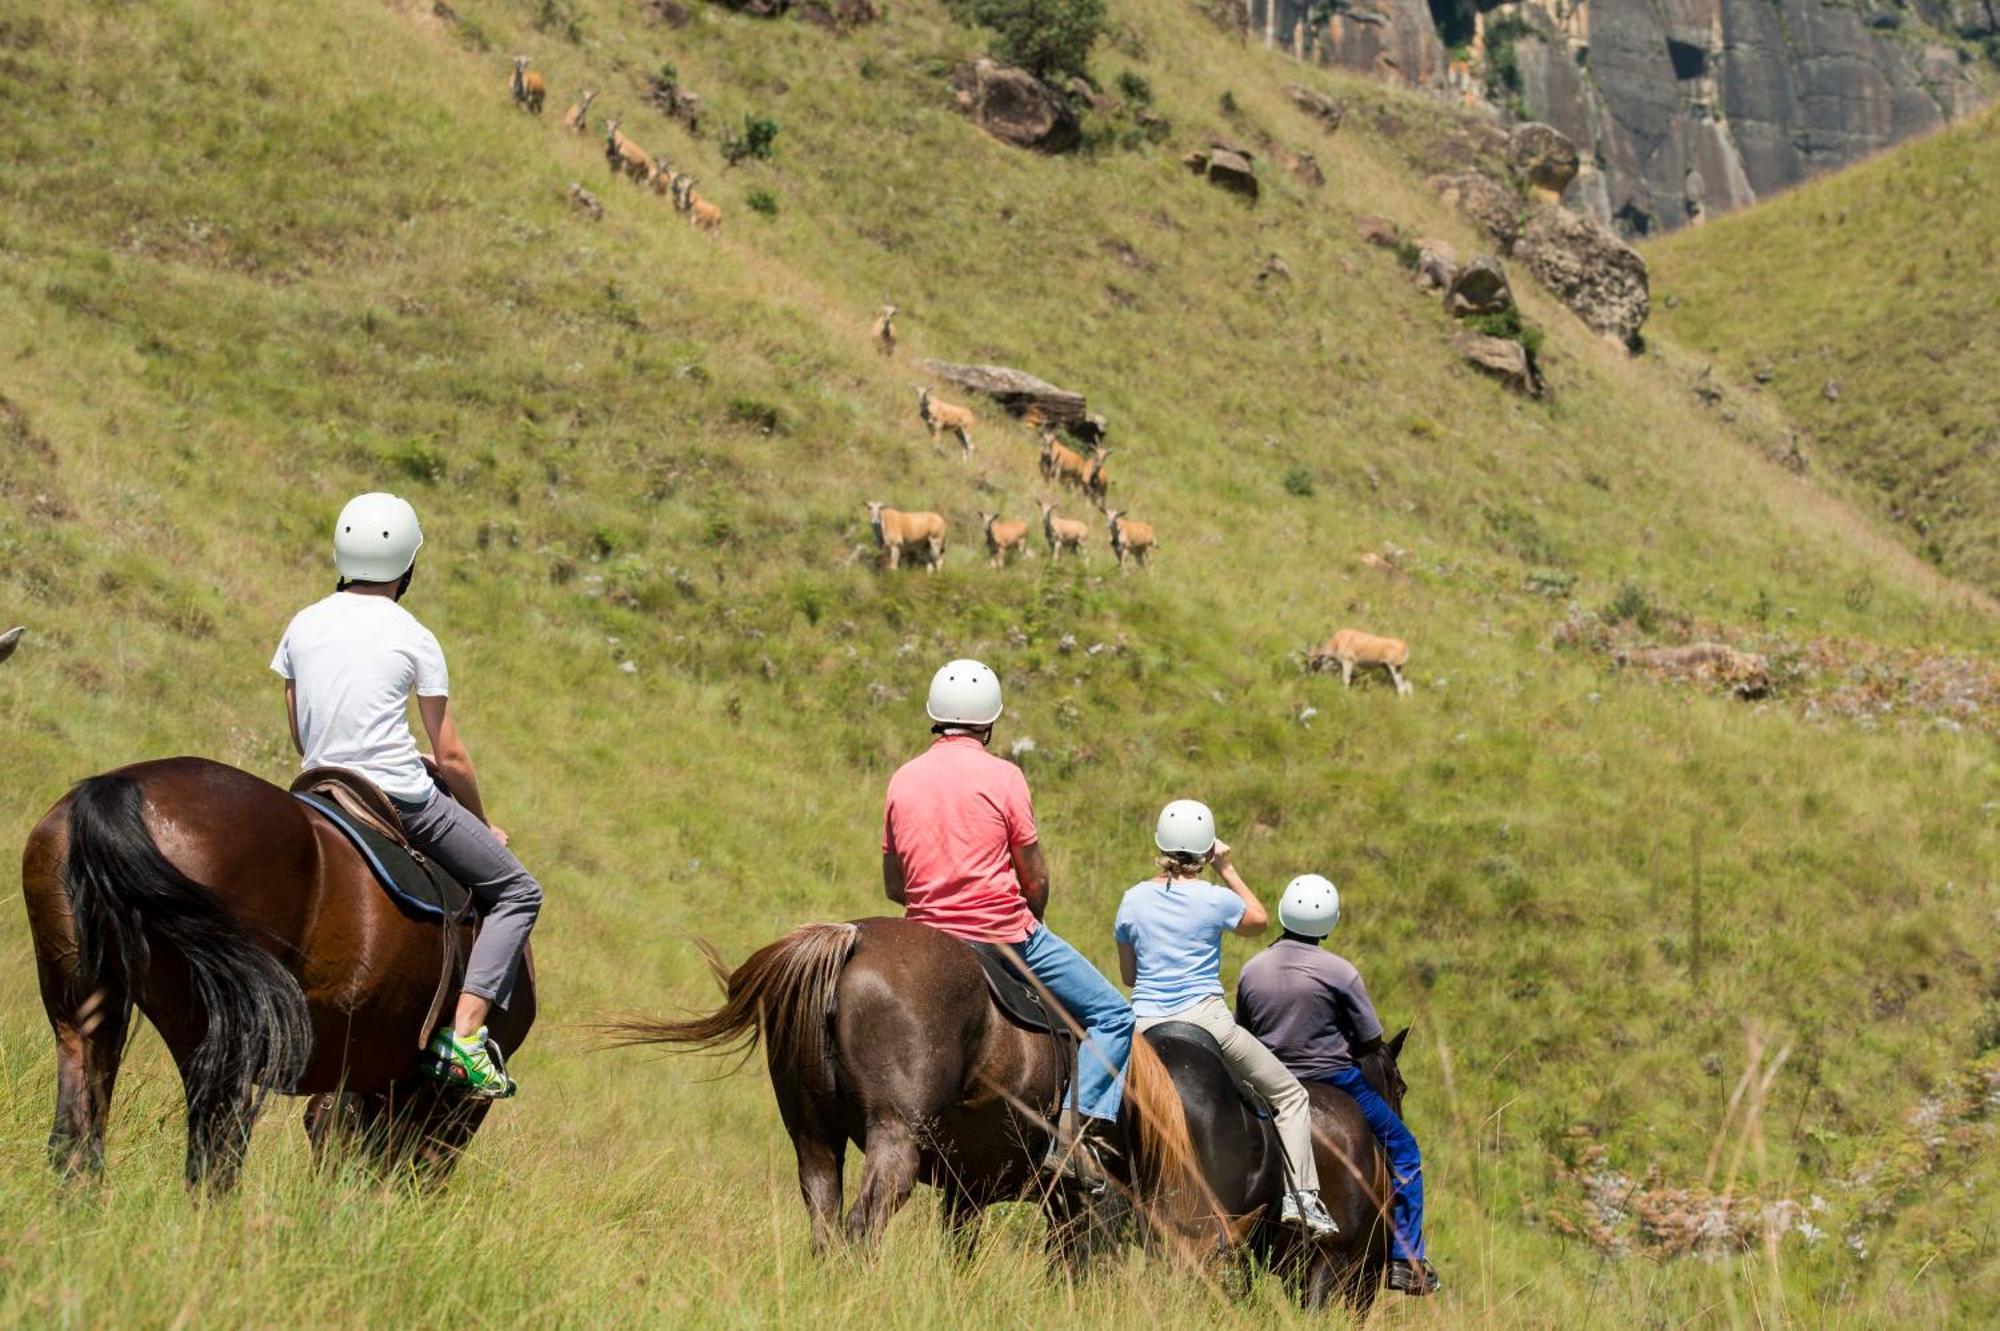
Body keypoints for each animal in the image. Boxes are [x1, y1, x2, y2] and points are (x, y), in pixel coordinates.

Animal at [19, 755, 536, 1183]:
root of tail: (117, 790)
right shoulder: (444, 1103)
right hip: (219, 1036)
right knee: (216, 1153)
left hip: (84, 1015)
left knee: (77, 1138)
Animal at [616, 919, 1192, 1247]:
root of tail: (852, 940)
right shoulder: (1074, 1205)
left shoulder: (968, 1192)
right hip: (896, 1136)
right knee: (865, 1222)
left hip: (813, 1135)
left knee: (824, 1217)